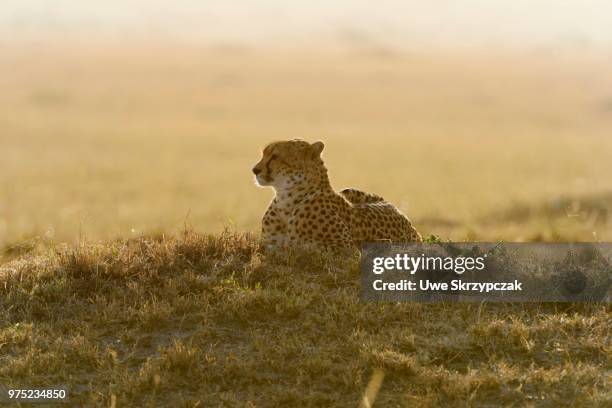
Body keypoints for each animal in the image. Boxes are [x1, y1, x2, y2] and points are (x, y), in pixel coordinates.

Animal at [250, 139, 420, 249]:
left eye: (275, 157)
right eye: (264, 154)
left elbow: (304, 246)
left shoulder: (346, 248)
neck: (286, 198)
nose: (255, 170)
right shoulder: (267, 242)